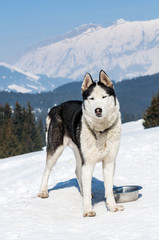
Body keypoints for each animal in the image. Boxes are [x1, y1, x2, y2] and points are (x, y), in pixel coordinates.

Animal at [37, 70, 124, 217]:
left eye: (104, 97)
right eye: (91, 98)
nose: (98, 110)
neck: (100, 131)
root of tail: (57, 107)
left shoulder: (109, 162)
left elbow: (109, 189)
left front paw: (112, 207)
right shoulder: (88, 164)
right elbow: (88, 188)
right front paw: (88, 210)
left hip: (79, 151)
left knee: (77, 171)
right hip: (55, 149)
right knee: (47, 170)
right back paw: (43, 191)